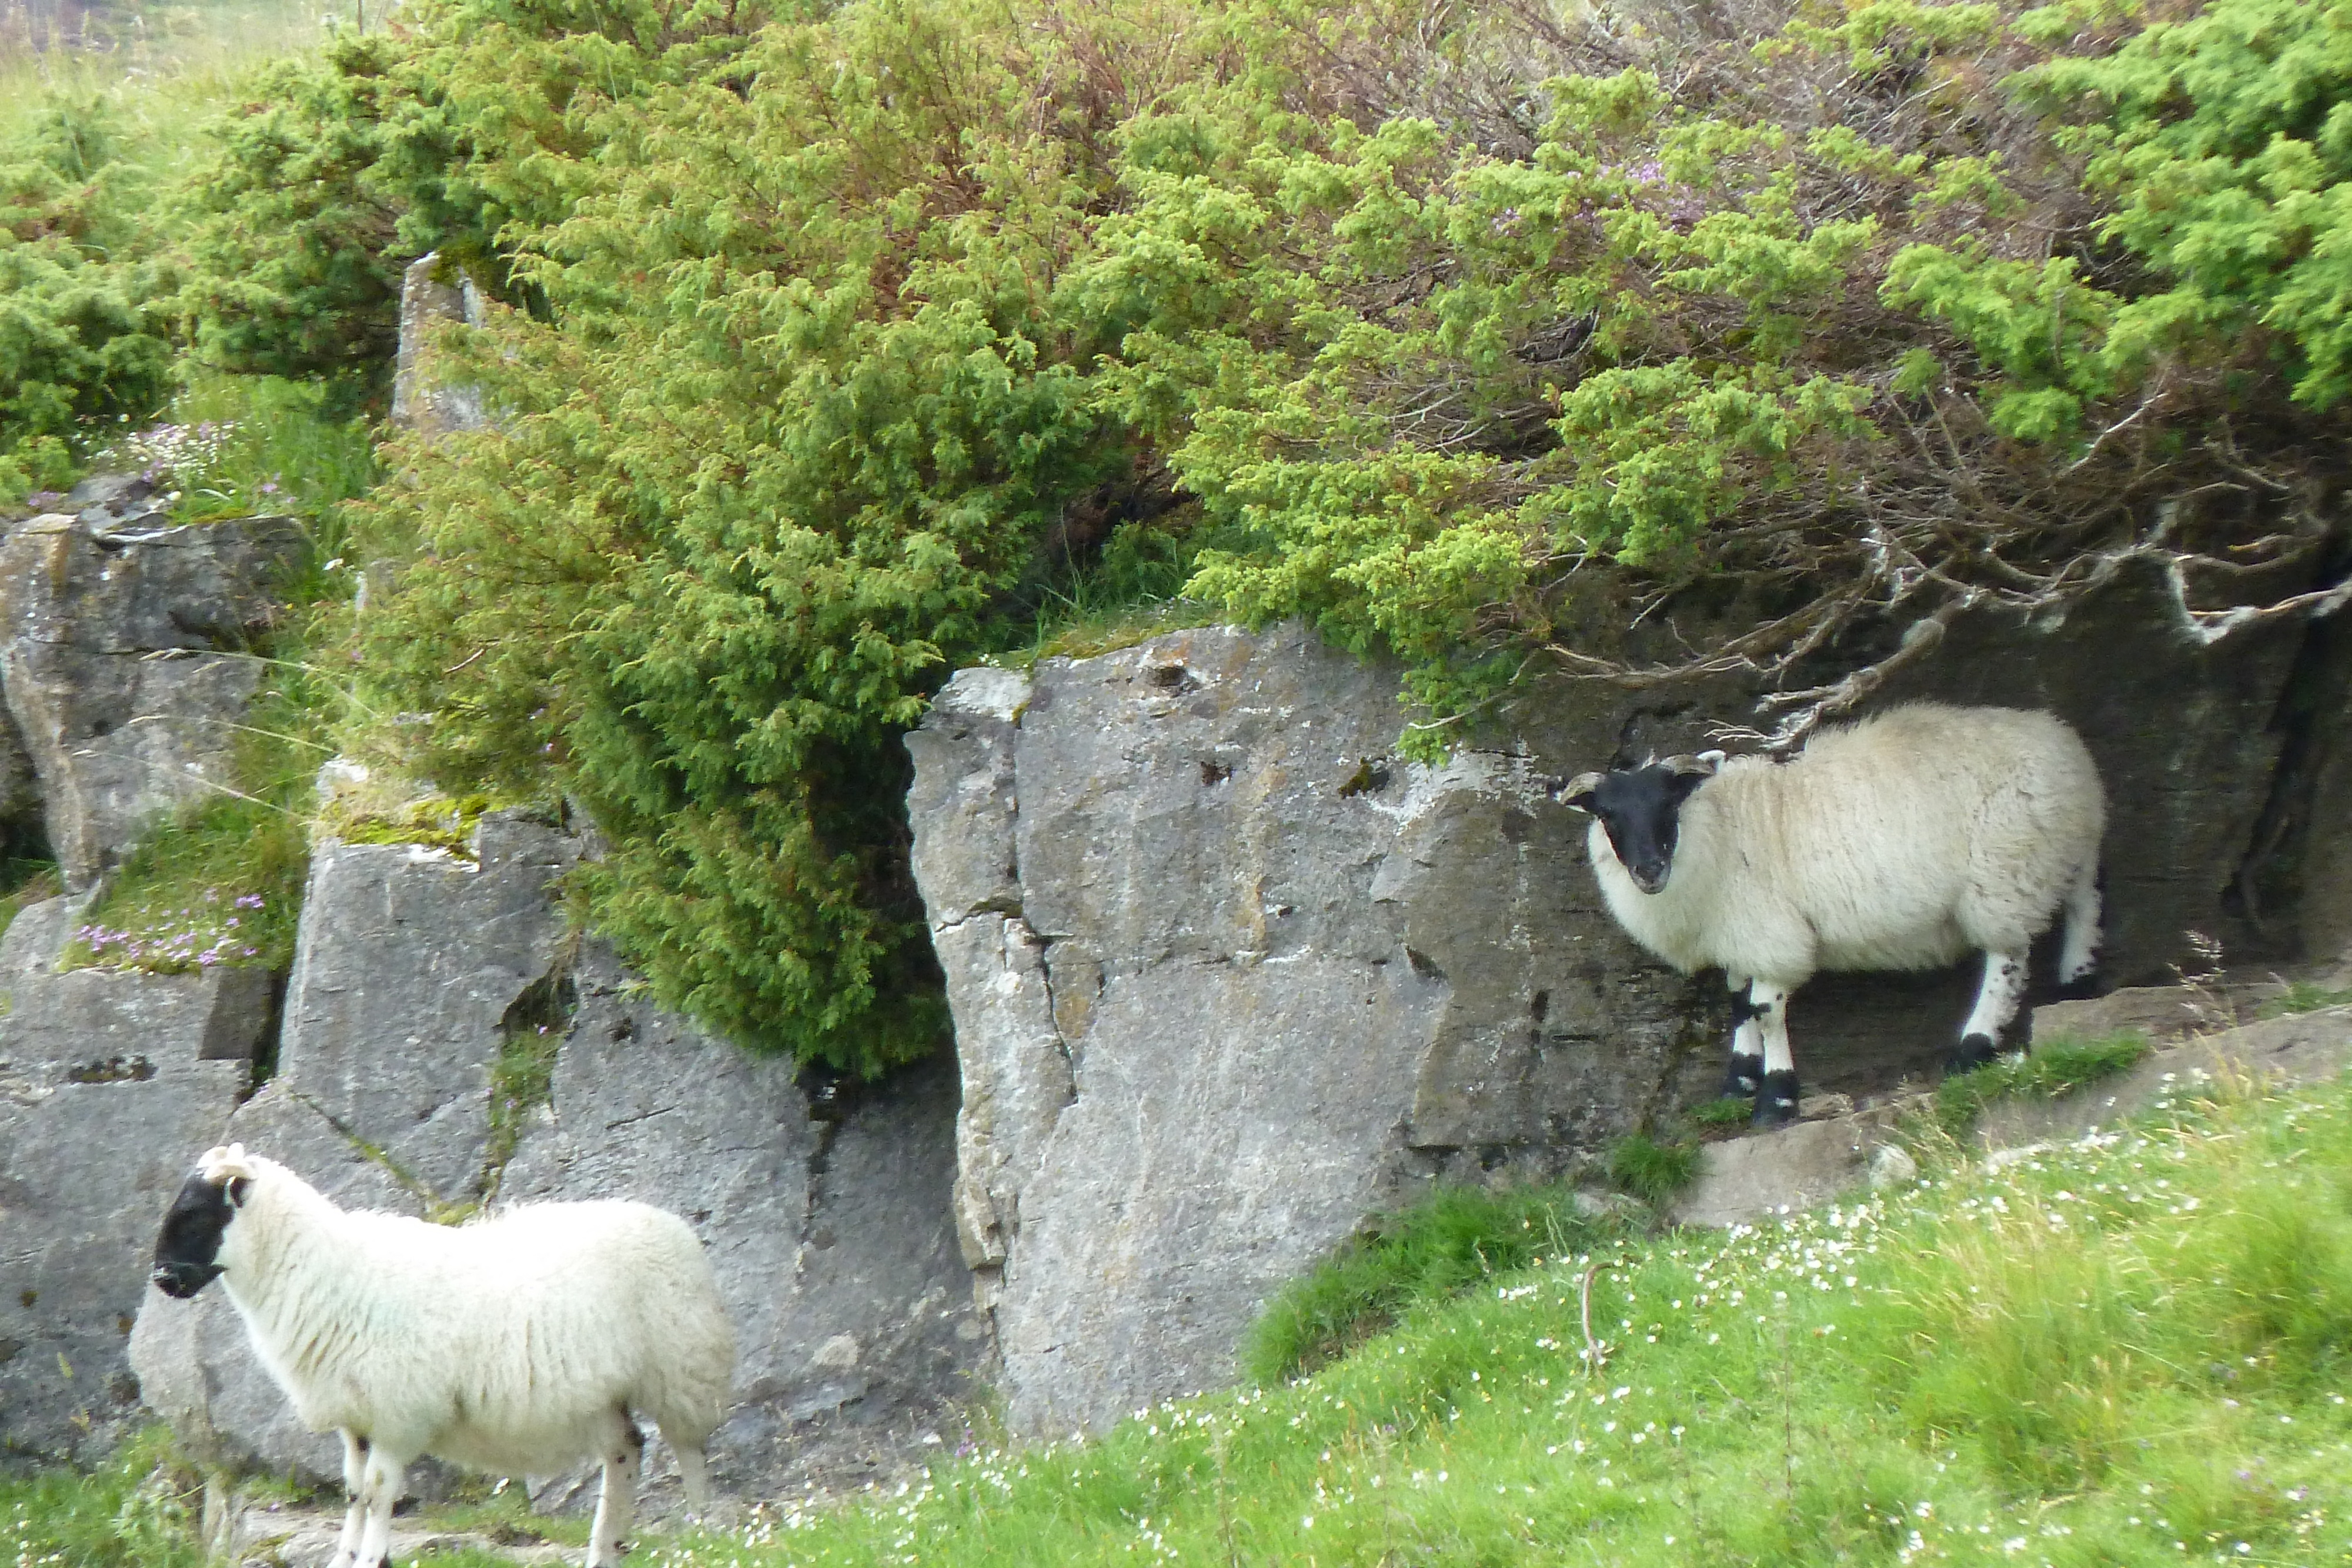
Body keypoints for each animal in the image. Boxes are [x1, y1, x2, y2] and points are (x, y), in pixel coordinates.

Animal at [149, 1142, 734, 1568]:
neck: (323, 1268)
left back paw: (702, 1538)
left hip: (682, 1369)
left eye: (195, 1212)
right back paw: (604, 1550)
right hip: (601, 1395)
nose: (162, 1279)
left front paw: (372, 1558)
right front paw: (345, 1557)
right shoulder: (358, 1419)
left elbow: (379, 1493)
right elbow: (353, 1493)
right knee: (626, 1451)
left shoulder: (397, 1413)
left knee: (690, 1456)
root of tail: (671, 1223)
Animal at [1552, 700, 2107, 1128]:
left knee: (2007, 957)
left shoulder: (1771, 934)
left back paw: (1974, 1047)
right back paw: (2079, 980)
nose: (1648, 870)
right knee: (2086, 900)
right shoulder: (1738, 932)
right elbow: (1737, 1003)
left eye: (1668, 803)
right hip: (2063, 847)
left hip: (2004, 871)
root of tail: (2056, 734)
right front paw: (1739, 1079)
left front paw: (1776, 1099)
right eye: (1607, 814)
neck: (1720, 827)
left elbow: (1765, 1010)